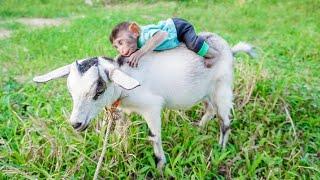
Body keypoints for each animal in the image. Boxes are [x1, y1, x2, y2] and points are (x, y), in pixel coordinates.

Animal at [31, 32, 252, 169]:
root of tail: (229, 49)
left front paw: (161, 165)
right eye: (70, 90)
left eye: (99, 89)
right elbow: (121, 131)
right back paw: (199, 129)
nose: (76, 123)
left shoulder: (152, 107)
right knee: (210, 109)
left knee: (224, 121)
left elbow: (154, 136)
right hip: (206, 91)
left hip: (223, 88)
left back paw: (220, 149)